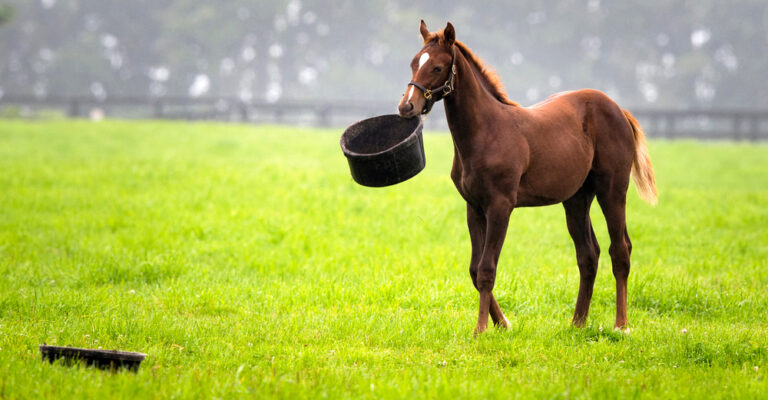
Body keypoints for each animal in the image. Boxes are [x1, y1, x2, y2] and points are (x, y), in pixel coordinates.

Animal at [397, 21, 657, 335]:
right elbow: (474, 269)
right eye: (414, 63)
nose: (406, 106)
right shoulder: (474, 207)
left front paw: (482, 329)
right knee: (588, 254)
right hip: (576, 199)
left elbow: (487, 269)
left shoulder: (500, 206)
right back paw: (577, 323)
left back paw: (621, 325)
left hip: (613, 190)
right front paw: (503, 323)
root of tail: (618, 109)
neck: (485, 131)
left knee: (619, 251)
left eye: (437, 67)